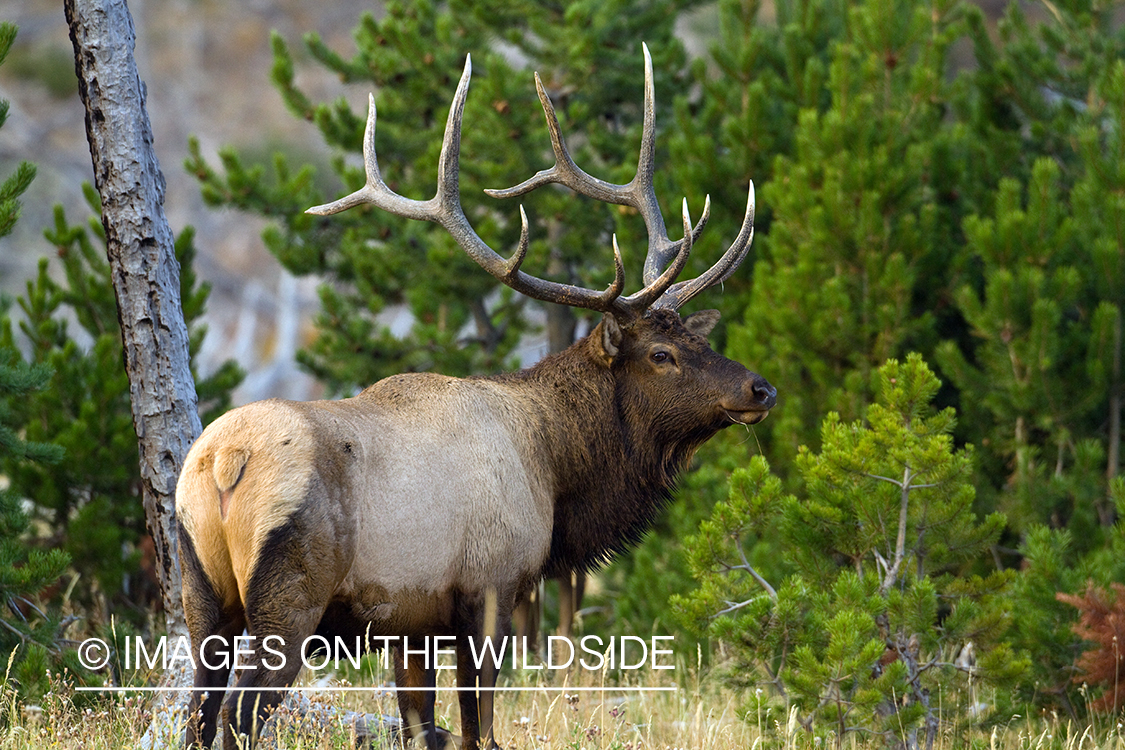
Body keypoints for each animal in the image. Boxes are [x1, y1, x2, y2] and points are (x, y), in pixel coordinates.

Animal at [176, 44, 775, 750]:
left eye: (693, 337)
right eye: (661, 355)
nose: (760, 388)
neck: (555, 467)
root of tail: (225, 463)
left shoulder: (409, 625)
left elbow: (422, 724)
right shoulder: (491, 588)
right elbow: (478, 728)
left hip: (200, 593)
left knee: (197, 714)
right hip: (289, 598)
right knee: (240, 716)